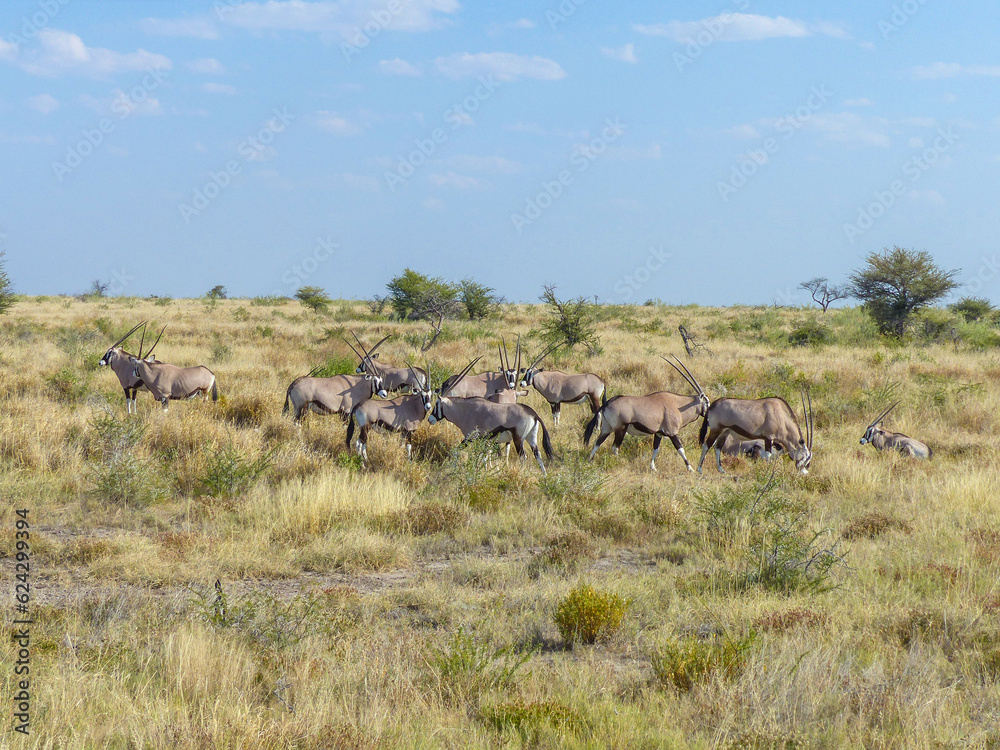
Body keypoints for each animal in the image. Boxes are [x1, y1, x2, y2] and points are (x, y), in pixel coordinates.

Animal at [428, 360, 556, 476]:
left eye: (437, 404)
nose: (430, 419)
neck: (465, 409)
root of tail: (533, 413)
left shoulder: (470, 437)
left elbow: (458, 451)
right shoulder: (483, 440)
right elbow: (483, 455)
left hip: (518, 439)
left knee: (523, 457)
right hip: (531, 438)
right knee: (538, 455)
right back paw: (544, 476)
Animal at [584, 356, 716, 472]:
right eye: (707, 402)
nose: (710, 416)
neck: (678, 405)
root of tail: (607, 403)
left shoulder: (659, 433)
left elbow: (655, 449)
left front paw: (653, 468)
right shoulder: (672, 433)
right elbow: (681, 449)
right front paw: (690, 469)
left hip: (607, 429)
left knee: (597, 443)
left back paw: (590, 461)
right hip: (620, 429)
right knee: (615, 447)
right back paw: (618, 462)